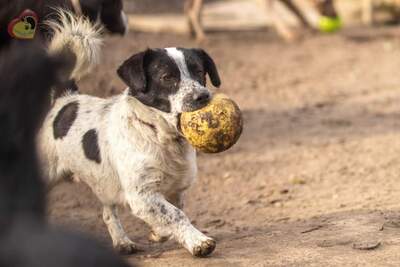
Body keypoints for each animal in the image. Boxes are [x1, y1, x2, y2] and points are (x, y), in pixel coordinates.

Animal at [38, 12, 222, 258]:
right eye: (167, 77)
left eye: (200, 72)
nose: (203, 96)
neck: (158, 135)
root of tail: (64, 99)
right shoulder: (141, 194)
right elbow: (176, 215)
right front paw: (198, 241)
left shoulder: (174, 190)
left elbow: (172, 213)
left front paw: (159, 233)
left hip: (103, 180)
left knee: (108, 213)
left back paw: (122, 241)